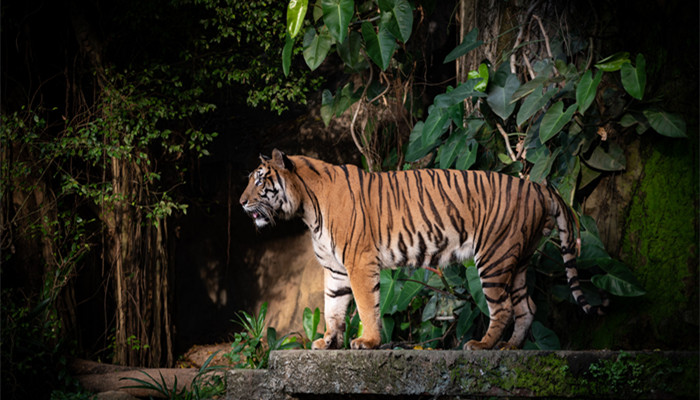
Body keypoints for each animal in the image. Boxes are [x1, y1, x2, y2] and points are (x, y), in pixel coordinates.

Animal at [241, 148, 600, 348]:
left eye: (259, 180)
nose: (241, 202)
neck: (307, 208)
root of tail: (537, 186)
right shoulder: (335, 268)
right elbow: (333, 307)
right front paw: (328, 341)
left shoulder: (359, 263)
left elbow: (366, 306)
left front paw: (367, 342)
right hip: (519, 260)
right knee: (528, 307)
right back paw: (509, 349)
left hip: (494, 257)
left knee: (505, 309)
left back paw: (482, 346)